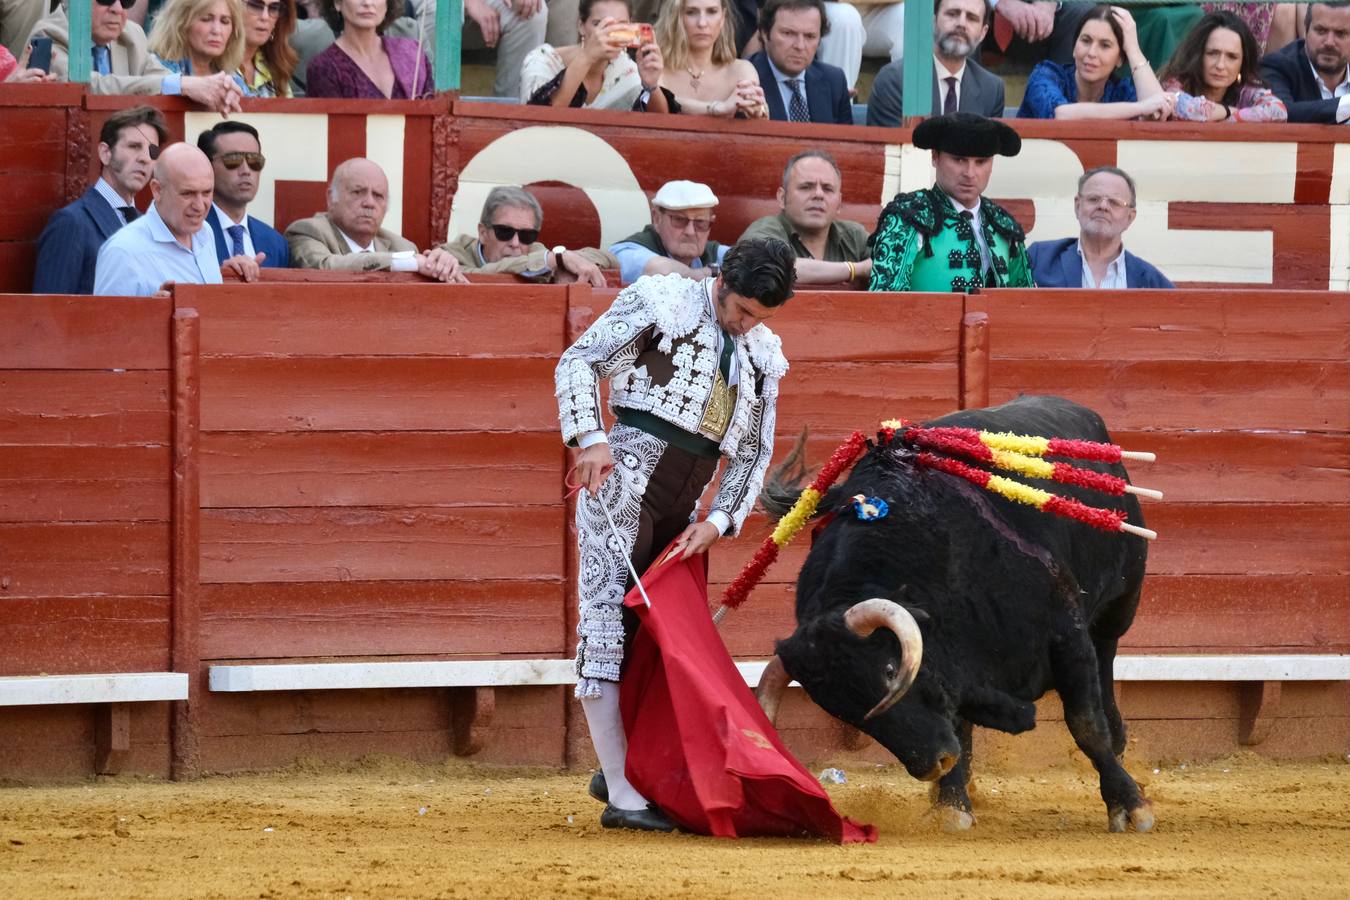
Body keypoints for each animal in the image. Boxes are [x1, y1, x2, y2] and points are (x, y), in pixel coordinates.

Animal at [756, 396, 1155, 836]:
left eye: (891, 670)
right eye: (841, 709)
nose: (933, 764)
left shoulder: (1069, 638)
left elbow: (1086, 724)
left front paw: (1130, 806)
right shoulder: (958, 665)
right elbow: (960, 728)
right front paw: (951, 802)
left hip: (1117, 610)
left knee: (1106, 674)